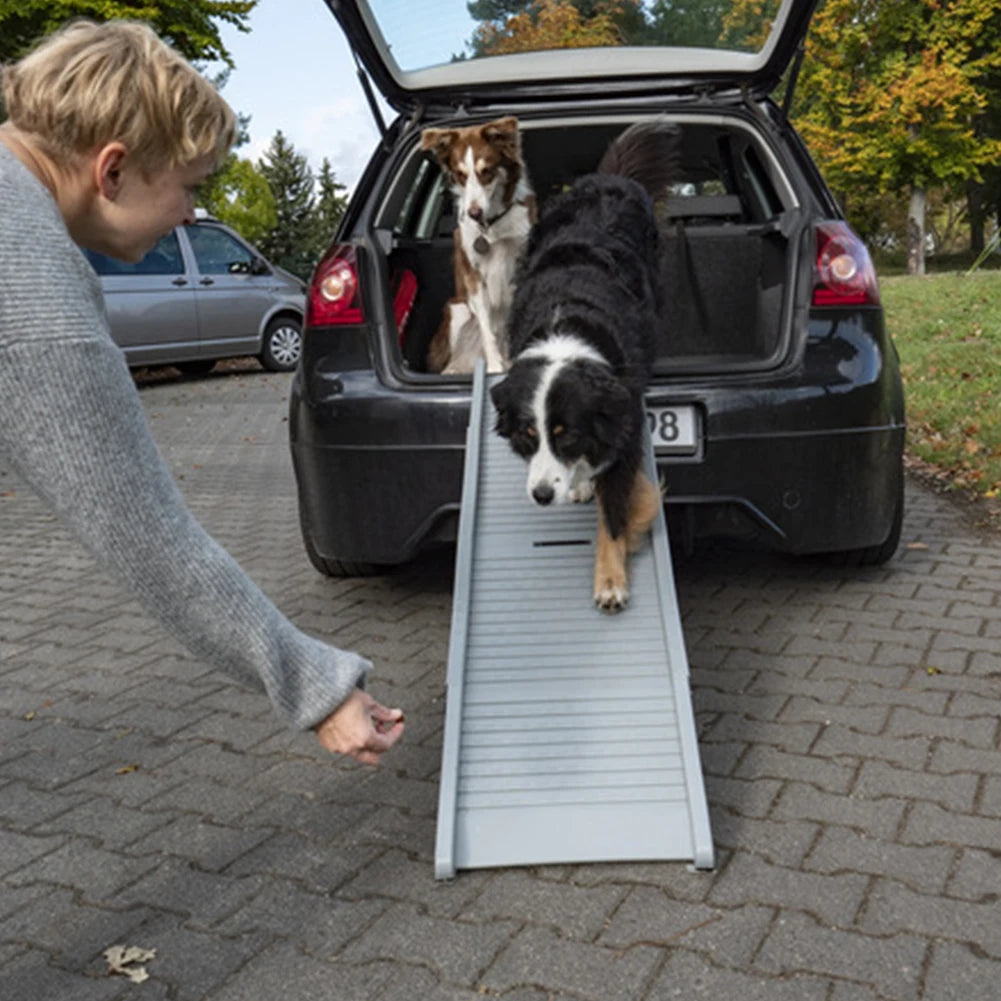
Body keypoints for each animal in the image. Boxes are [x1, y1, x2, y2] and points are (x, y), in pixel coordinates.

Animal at [420, 114, 536, 372]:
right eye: (461, 175)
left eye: (487, 171)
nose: (474, 213)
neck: (491, 226)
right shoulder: (473, 276)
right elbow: (486, 327)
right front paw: (494, 366)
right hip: (458, 310)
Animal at [488, 122, 676, 612]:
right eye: (526, 435)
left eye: (566, 433)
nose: (541, 496)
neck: (566, 326)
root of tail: (606, 178)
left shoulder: (625, 422)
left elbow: (613, 514)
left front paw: (610, 582)